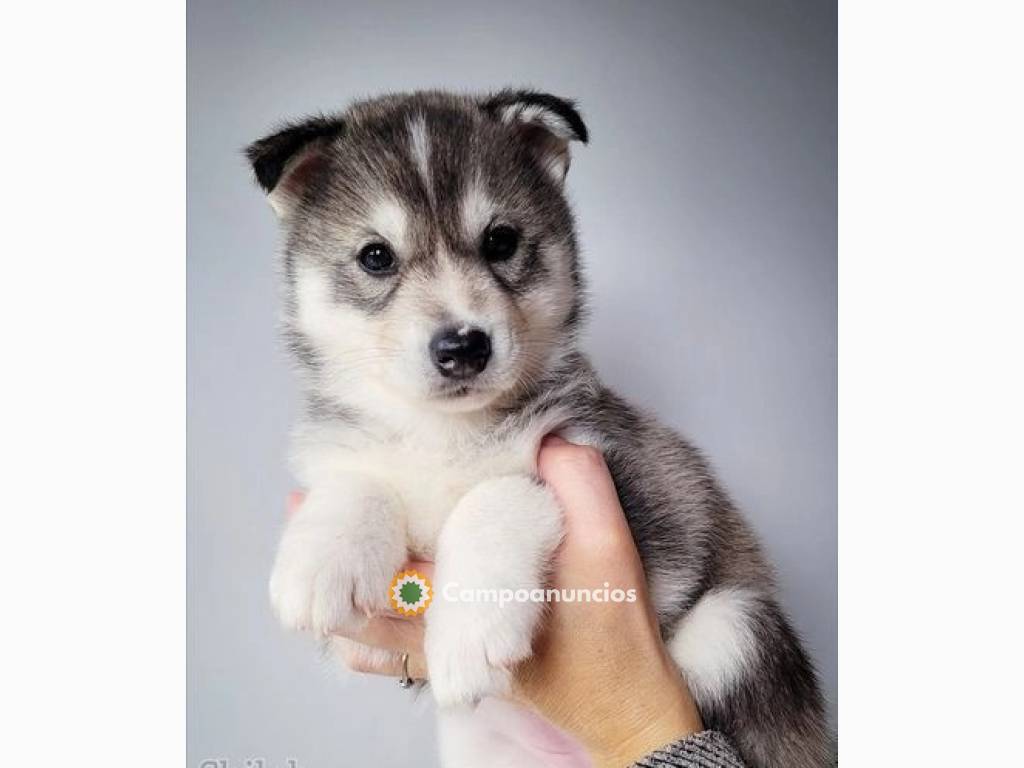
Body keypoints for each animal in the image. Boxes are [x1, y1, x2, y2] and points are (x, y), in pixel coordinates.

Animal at [245, 87, 831, 765]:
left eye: (500, 241)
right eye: (376, 256)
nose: (463, 346)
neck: (445, 432)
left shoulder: (629, 474)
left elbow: (500, 490)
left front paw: (466, 633)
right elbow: (357, 482)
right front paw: (323, 557)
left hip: (732, 630)